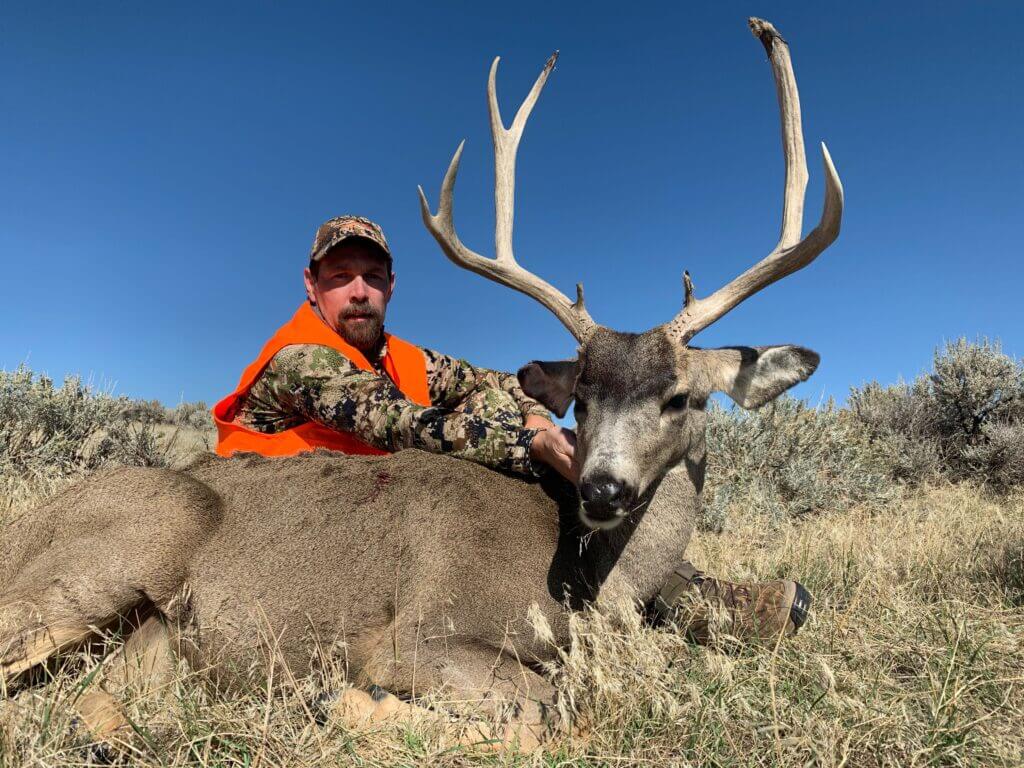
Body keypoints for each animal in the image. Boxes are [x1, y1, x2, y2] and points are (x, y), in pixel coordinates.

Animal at [0, 18, 842, 752]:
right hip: (123, 549)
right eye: (582, 397)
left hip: (141, 639)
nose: (602, 490)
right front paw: (343, 705)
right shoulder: (418, 635)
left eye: (681, 398)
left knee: (87, 697)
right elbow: (544, 711)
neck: (591, 581)